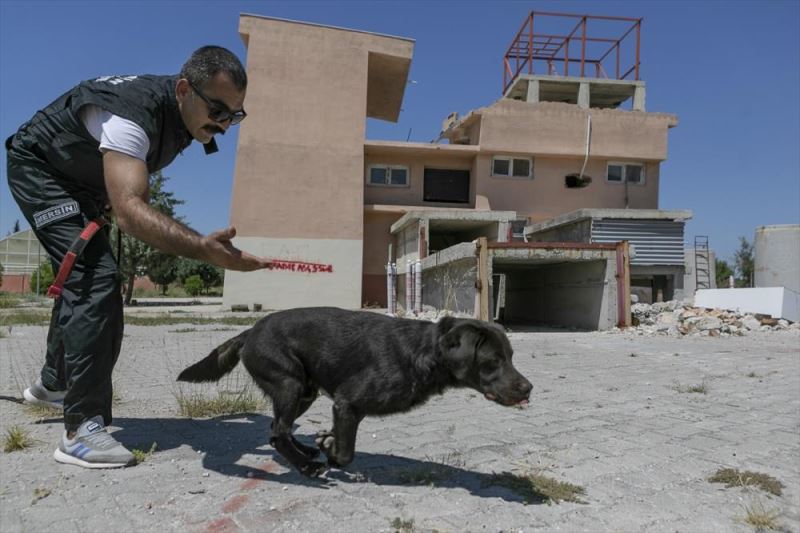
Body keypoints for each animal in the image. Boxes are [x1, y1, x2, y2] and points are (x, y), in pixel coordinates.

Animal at [177, 306, 532, 476]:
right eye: (493, 361)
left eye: (512, 356)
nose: (529, 388)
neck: (424, 351)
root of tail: (250, 331)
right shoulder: (347, 403)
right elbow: (346, 454)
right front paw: (333, 453)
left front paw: (325, 441)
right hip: (290, 383)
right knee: (277, 431)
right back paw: (308, 467)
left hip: (305, 390)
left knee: (279, 426)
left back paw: (305, 452)